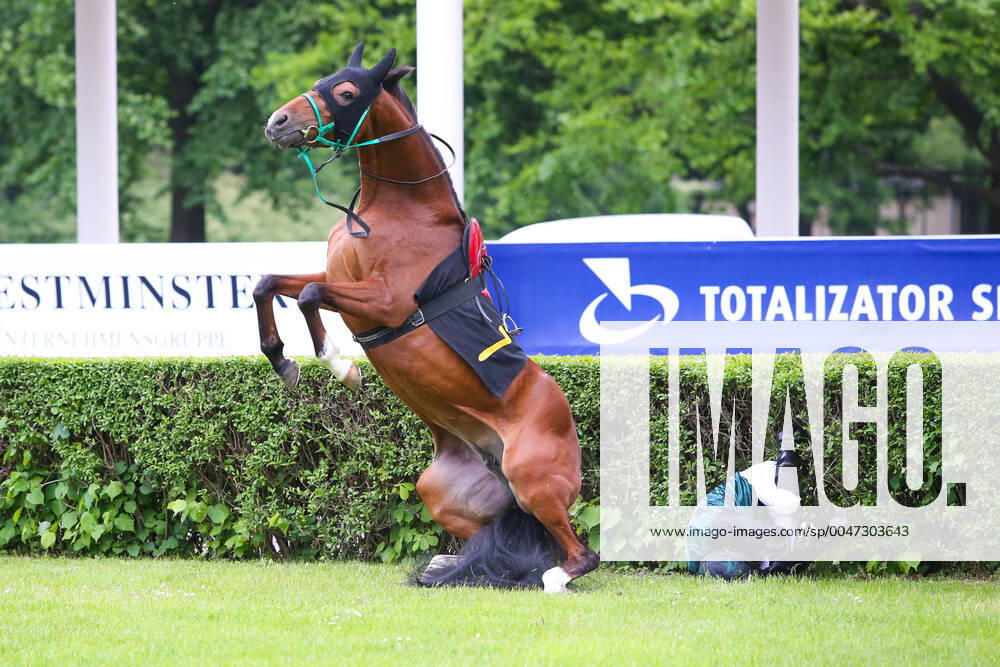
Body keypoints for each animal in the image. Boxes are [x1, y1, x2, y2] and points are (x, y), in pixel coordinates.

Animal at [256, 42, 599, 592]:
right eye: (322, 79)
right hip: (440, 491)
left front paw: (340, 365)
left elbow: (308, 294)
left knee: (582, 554)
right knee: (496, 542)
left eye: (347, 92)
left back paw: (549, 577)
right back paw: (453, 566)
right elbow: (270, 283)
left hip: (533, 482)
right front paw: (282, 360)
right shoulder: (343, 285)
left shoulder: (384, 302)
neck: (398, 210)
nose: (278, 122)